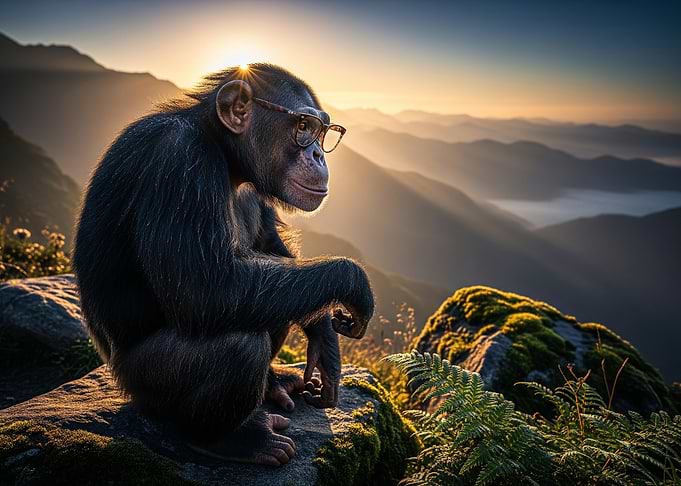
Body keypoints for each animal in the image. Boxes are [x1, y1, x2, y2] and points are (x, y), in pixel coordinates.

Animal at [72, 63, 374, 466]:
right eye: (304, 127)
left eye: (324, 133)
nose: (317, 155)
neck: (226, 156)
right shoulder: (179, 163)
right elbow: (208, 287)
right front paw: (352, 281)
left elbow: (270, 246)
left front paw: (324, 337)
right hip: (145, 385)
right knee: (240, 346)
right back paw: (232, 439)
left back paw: (274, 384)